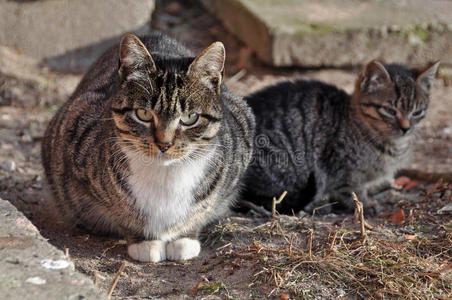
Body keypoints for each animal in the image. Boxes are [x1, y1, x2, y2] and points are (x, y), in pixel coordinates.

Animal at [42, 32, 254, 262]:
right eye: (143, 114)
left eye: (190, 118)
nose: (164, 143)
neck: (165, 175)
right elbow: (122, 210)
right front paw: (144, 242)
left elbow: (203, 208)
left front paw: (184, 238)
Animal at [244, 60, 438, 213]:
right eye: (389, 110)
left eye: (417, 112)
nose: (406, 128)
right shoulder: (342, 170)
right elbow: (353, 191)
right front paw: (366, 204)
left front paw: (388, 191)